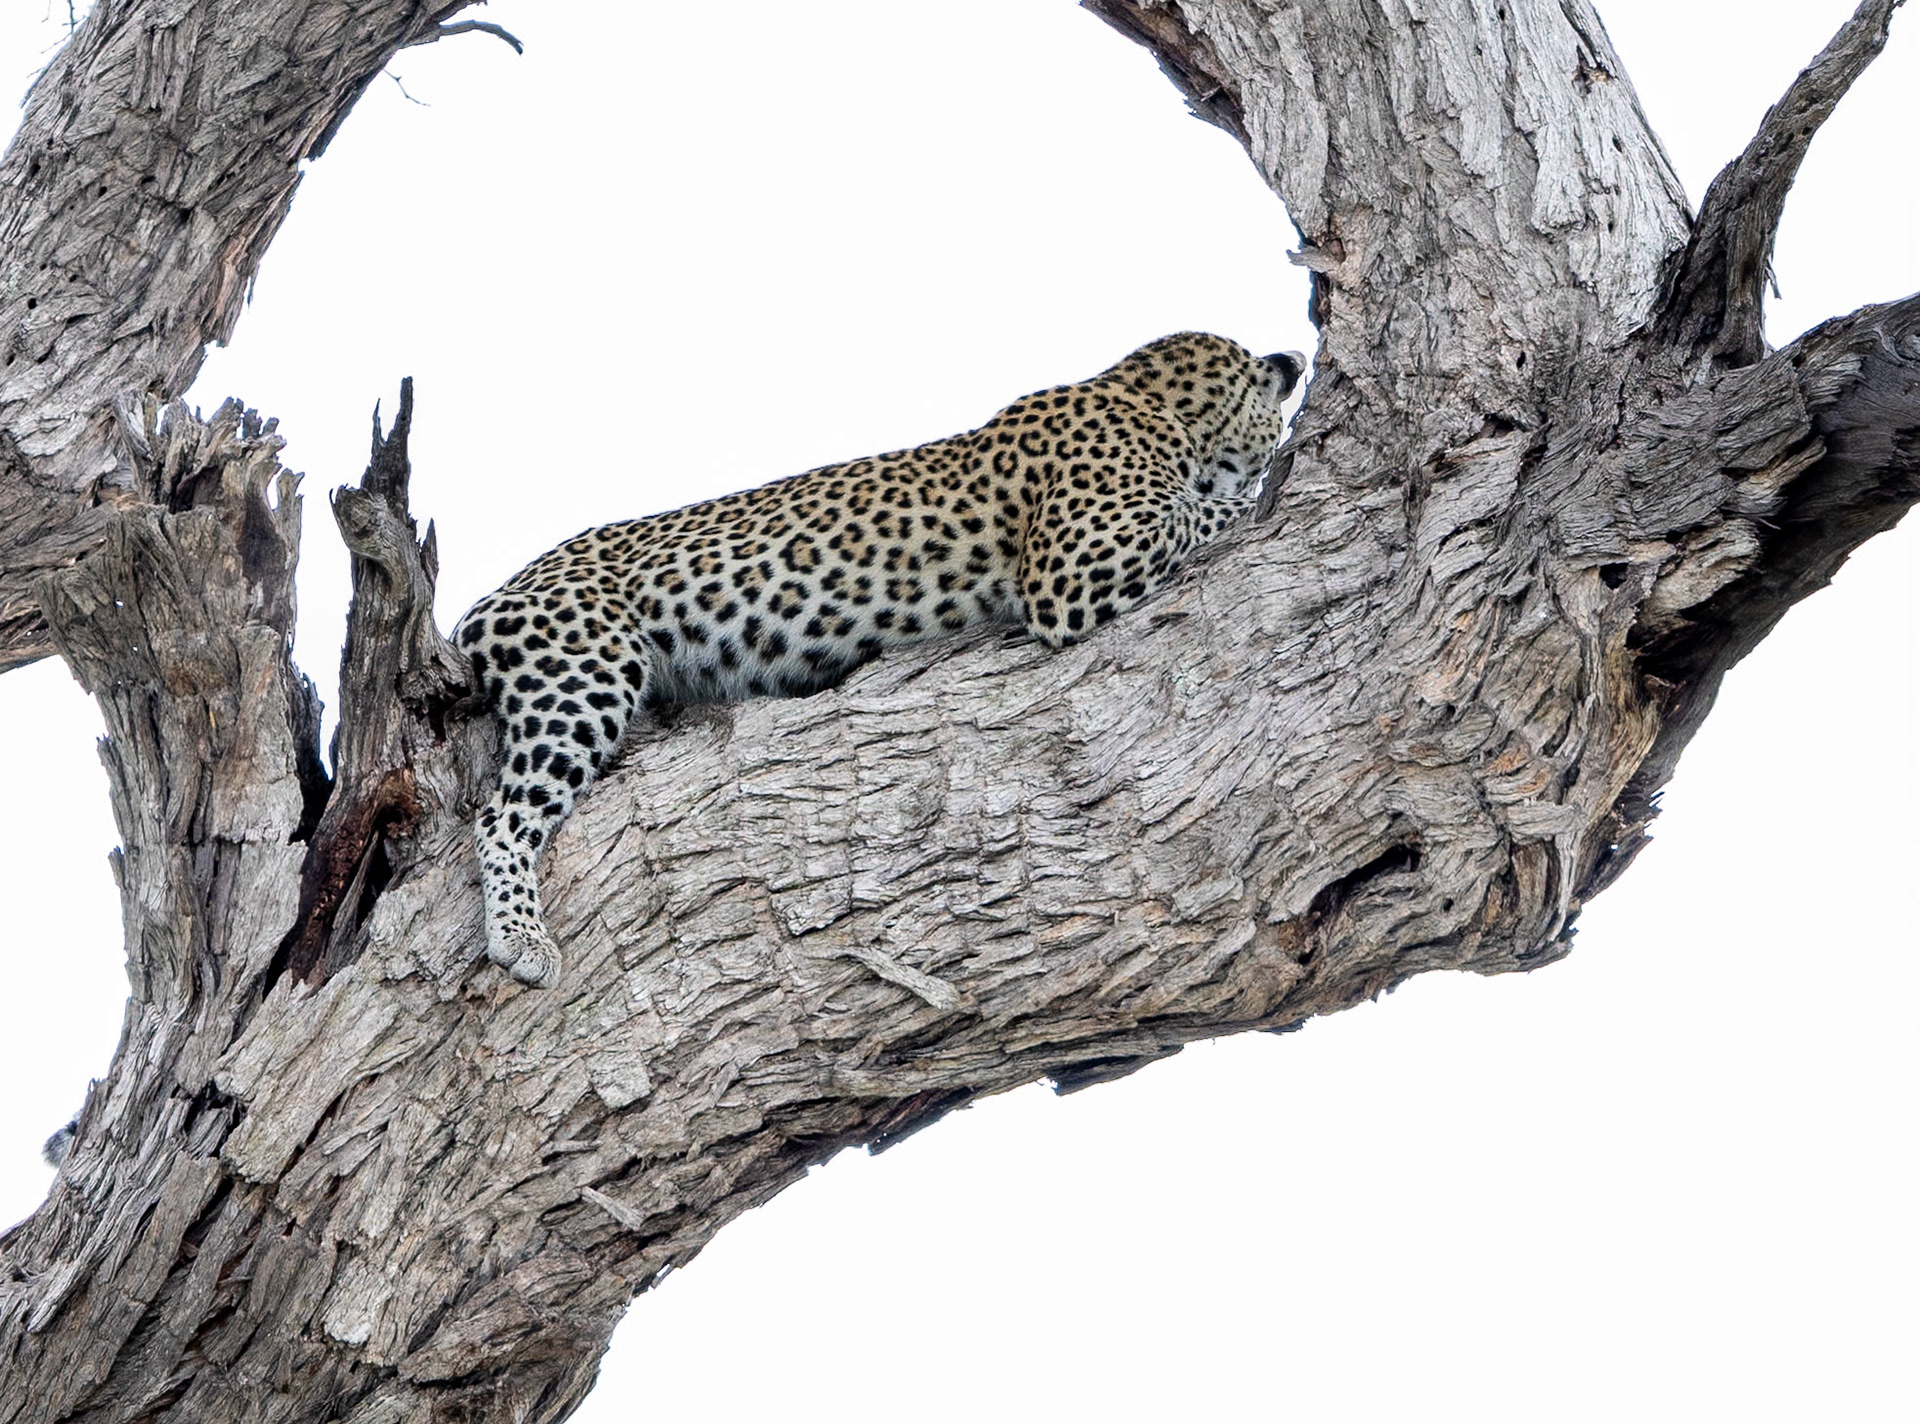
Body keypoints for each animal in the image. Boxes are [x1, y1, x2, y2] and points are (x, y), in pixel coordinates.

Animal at [454, 333, 1306, 989]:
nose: (1296, 366)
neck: (1147, 397)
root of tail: (488, 602)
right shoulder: (1074, 565)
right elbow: (1205, 510)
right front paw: (1261, 476)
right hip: (581, 672)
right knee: (501, 817)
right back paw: (523, 939)